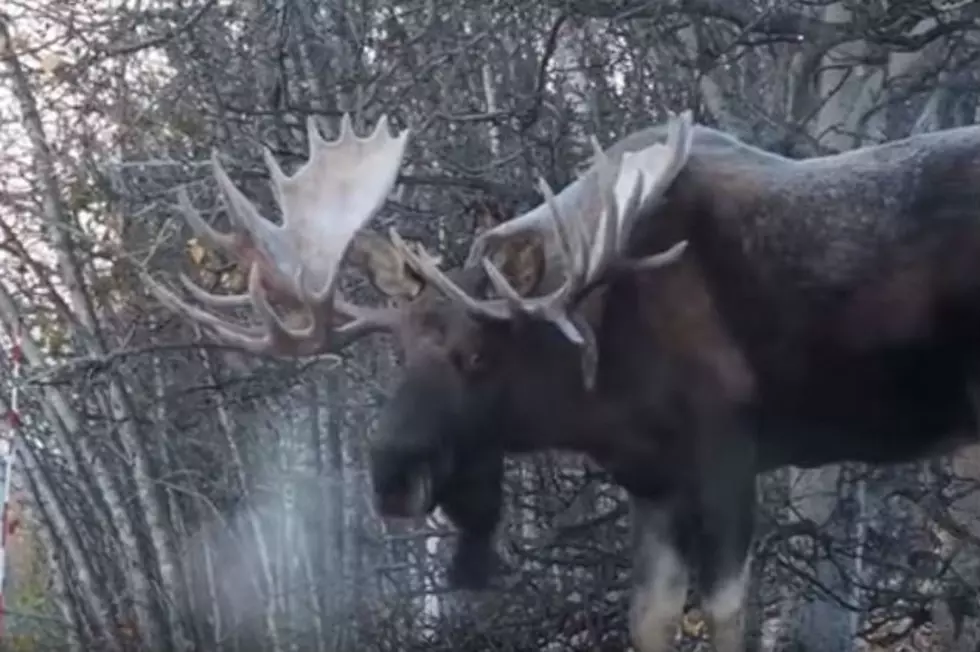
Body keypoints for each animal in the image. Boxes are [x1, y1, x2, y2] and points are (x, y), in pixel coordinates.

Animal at [144, 103, 980, 652]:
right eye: (398, 352)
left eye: (479, 355)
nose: (389, 476)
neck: (602, 390)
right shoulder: (653, 481)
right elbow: (650, 621)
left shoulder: (728, 451)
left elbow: (727, 617)